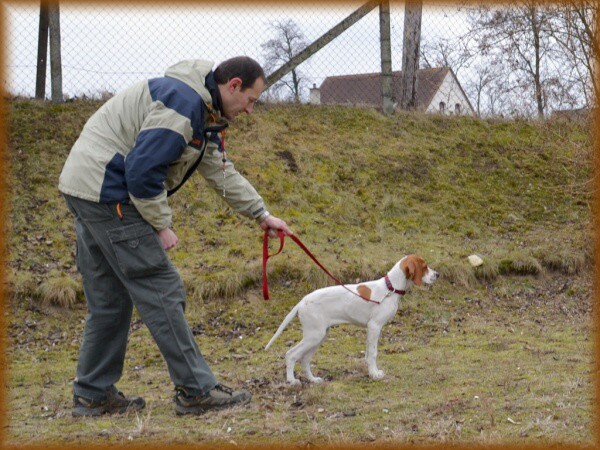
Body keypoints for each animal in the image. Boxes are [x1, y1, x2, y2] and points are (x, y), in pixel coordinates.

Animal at [264, 255, 438, 384]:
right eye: (424, 266)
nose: (437, 275)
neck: (390, 288)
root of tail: (302, 301)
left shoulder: (371, 329)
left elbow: (368, 354)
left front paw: (372, 372)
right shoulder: (374, 326)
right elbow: (373, 353)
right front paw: (374, 374)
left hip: (319, 335)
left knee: (305, 359)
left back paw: (313, 380)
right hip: (314, 335)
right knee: (291, 354)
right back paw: (292, 381)